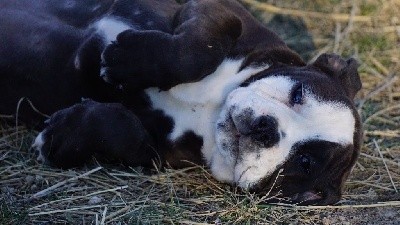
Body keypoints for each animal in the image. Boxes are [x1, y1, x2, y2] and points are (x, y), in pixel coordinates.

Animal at [0, 0, 362, 206]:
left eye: (304, 163)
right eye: (298, 94)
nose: (266, 129)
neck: (211, 112)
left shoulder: (154, 153)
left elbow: (122, 130)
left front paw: (60, 137)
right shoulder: (219, 11)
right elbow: (201, 48)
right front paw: (125, 60)